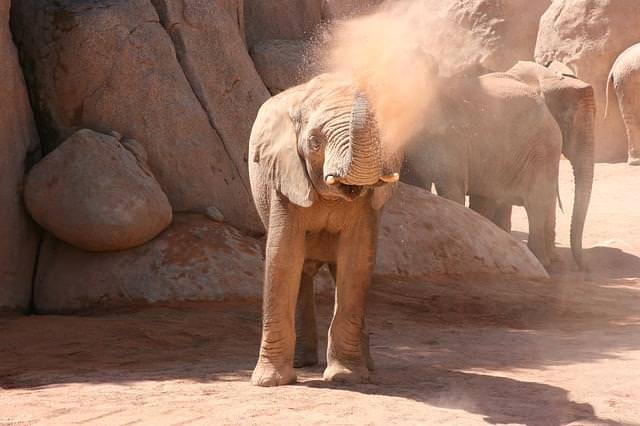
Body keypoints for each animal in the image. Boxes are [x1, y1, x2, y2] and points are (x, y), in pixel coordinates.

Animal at [246, 72, 400, 386]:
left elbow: (356, 261)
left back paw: (367, 367)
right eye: (314, 142)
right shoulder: (284, 178)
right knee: (302, 271)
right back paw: (302, 363)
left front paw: (346, 377)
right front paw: (269, 382)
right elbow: (283, 256)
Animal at [404, 69, 580, 266]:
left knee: (536, 201)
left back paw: (542, 262)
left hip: (542, 149)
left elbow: (453, 191)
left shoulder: (449, 140)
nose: (584, 267)